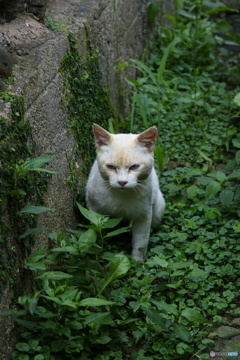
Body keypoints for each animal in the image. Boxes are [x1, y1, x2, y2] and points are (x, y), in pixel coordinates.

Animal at [85, 123, 166, 258]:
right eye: (111, 167)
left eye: (134, 167)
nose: (122, 182)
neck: (121, 197)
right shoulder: (94, 211)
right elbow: (96, 233)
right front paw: (97, 253)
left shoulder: (143, 216)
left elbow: (140, 243)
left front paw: (137, 261)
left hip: (158, 208)